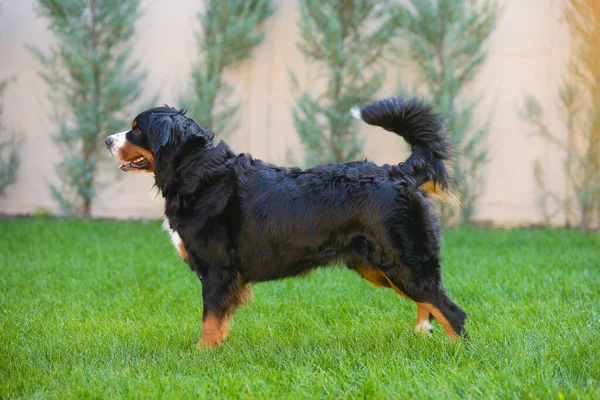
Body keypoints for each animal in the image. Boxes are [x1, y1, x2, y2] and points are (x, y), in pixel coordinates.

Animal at [104, 97, 468, 346]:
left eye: (137, 129)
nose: (107, 140)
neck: (196, 172)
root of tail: (399, 172)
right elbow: (219, 320)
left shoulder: (217, 269)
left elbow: (210, 318)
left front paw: (202, 352)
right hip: (379, 266)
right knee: (428, 303)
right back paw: (423, 336)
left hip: (401, 260)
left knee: (450, 310)